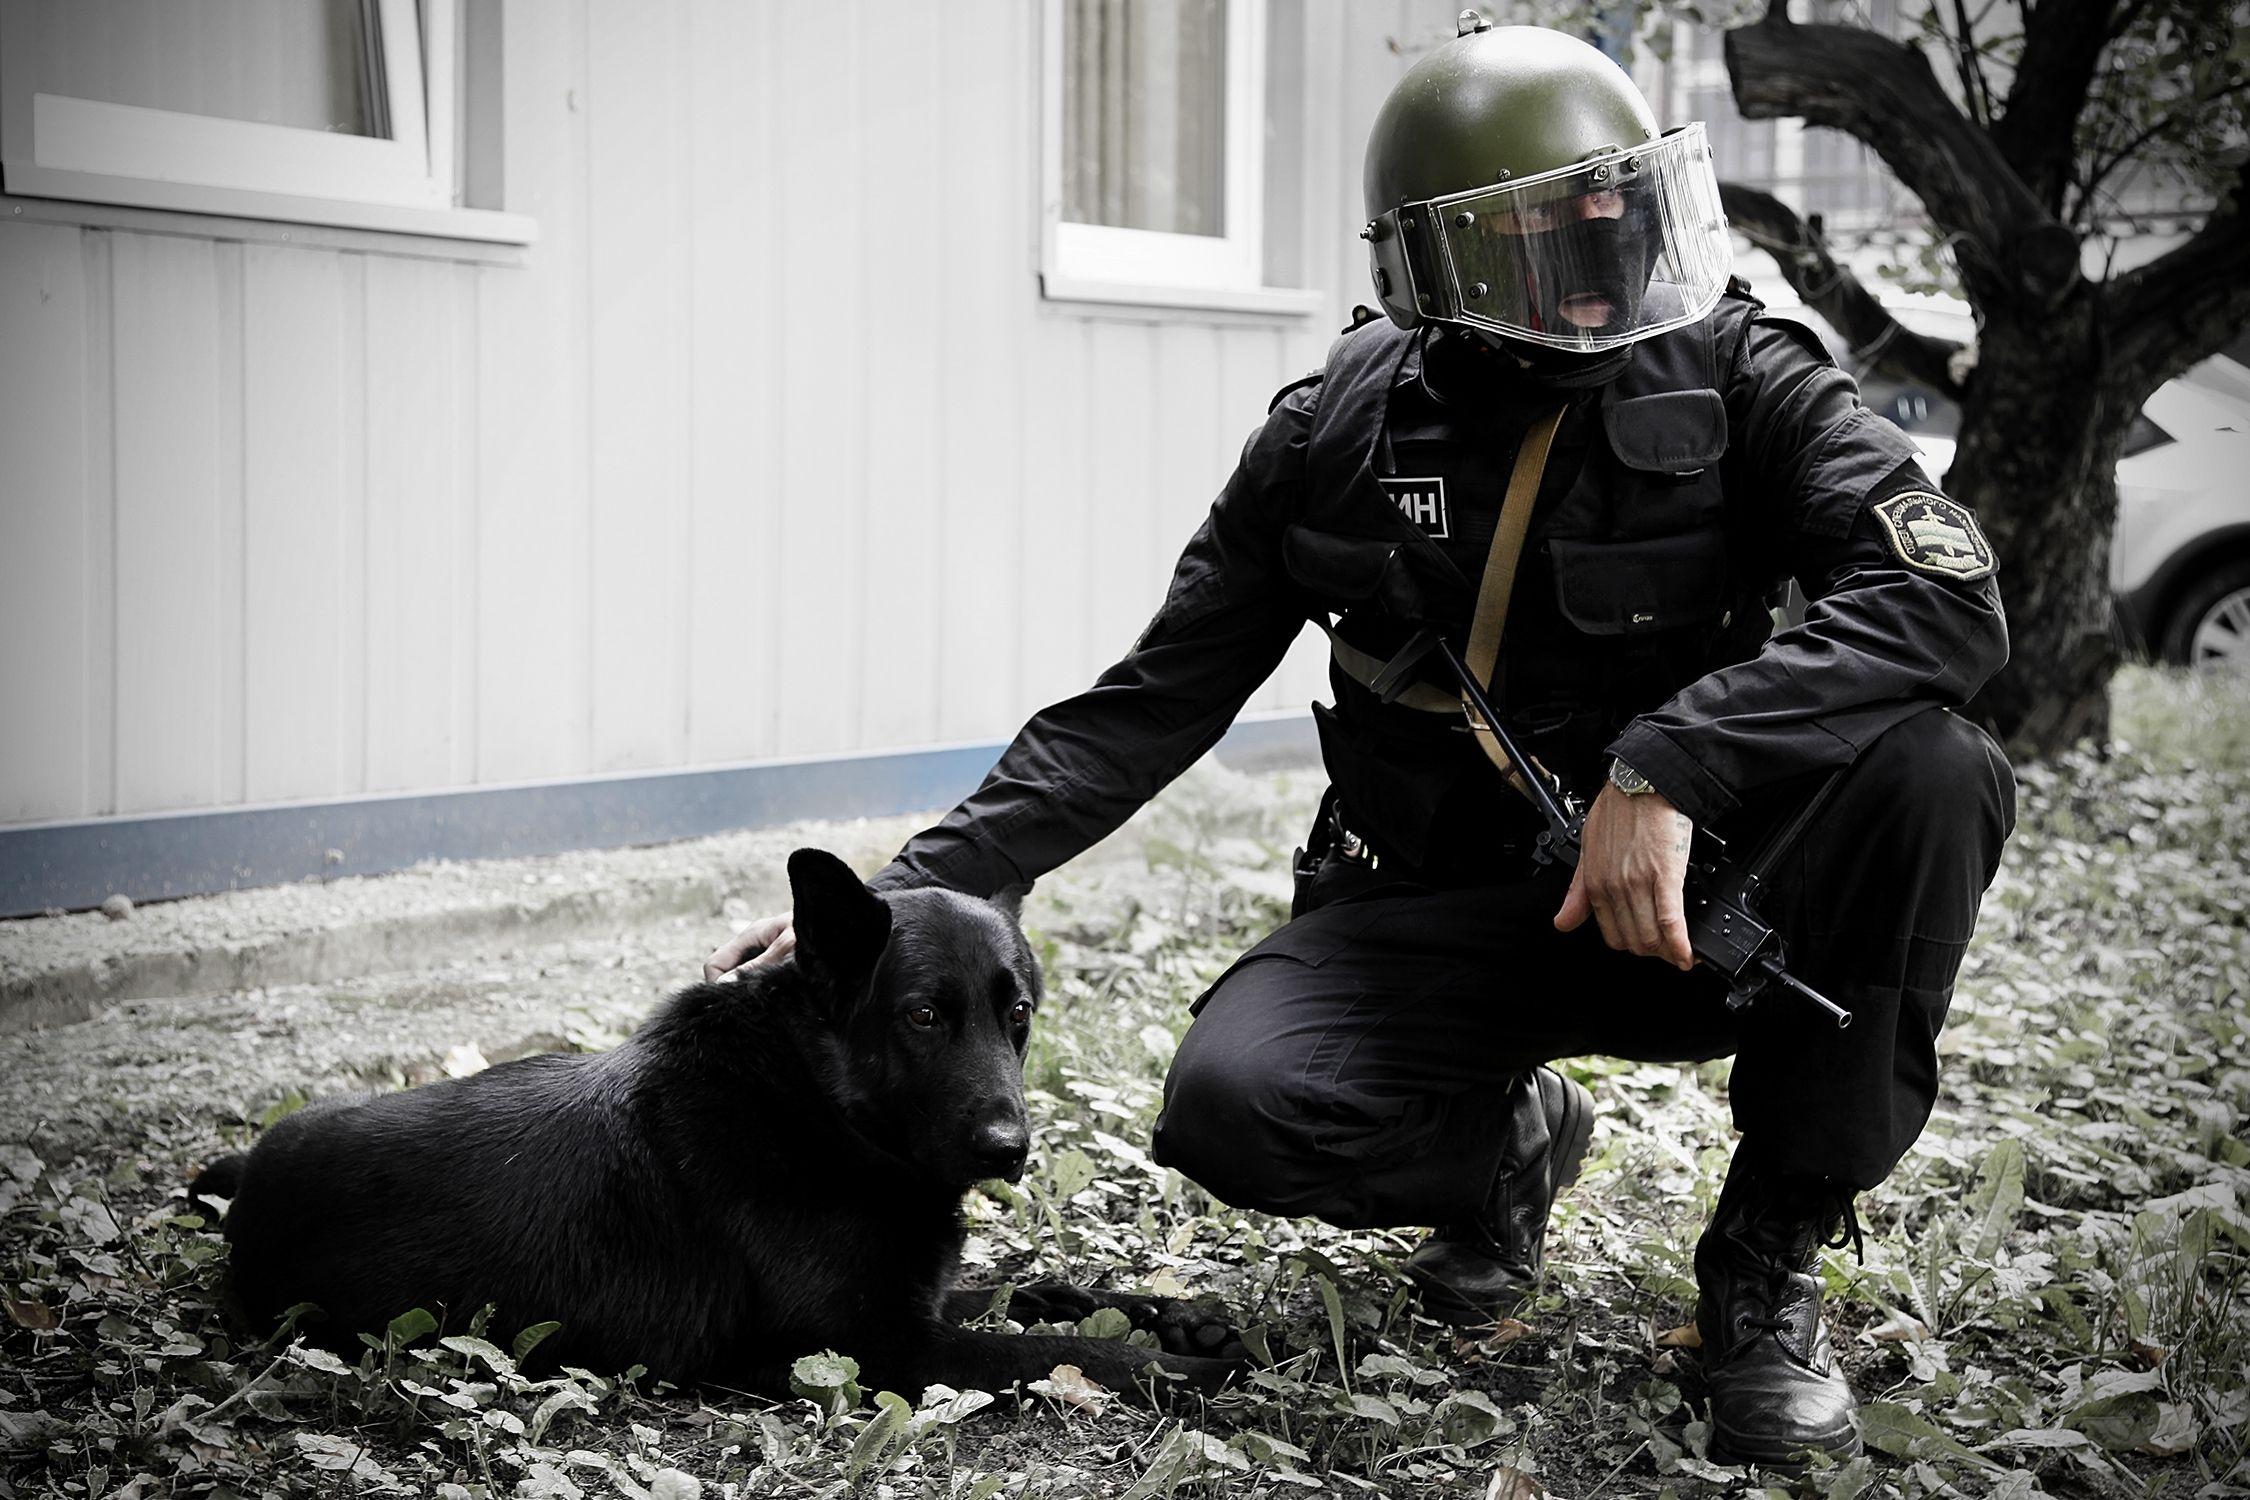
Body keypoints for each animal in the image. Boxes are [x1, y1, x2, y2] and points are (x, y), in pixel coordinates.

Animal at [195, 850, 1242, 1403]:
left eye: (1016, 1013)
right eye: (922, 1016)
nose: (1009, 1151)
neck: (817, 1109)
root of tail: (251, 1177)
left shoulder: (916, 1303)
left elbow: (1044, 1290)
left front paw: (1186, 1318)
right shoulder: (881, 1348)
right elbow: (1062, 1351)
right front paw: (1185, 1369)